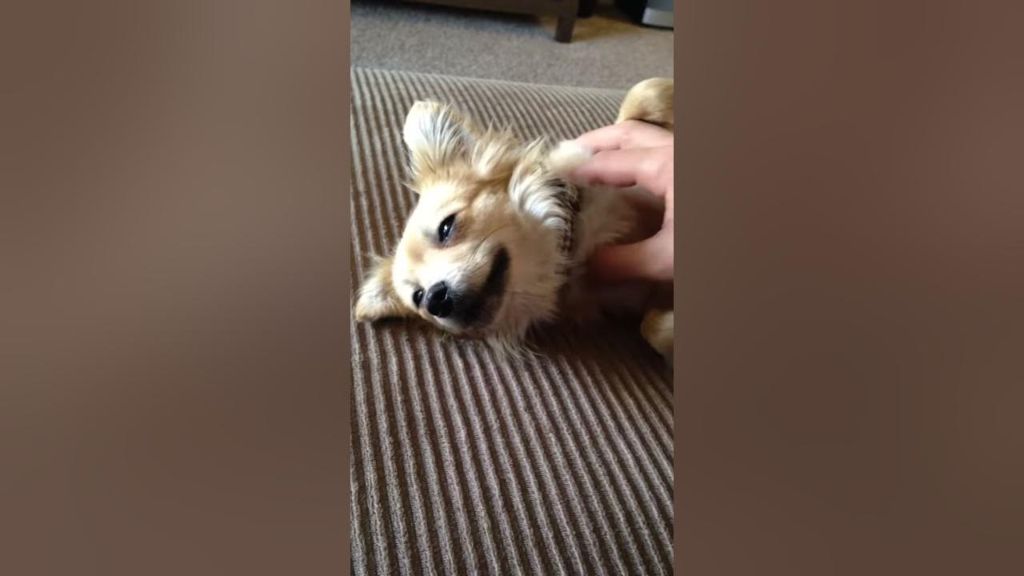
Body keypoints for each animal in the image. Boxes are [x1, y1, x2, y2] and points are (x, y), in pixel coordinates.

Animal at [352, 76, 671, 362]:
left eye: (446, 227)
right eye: (417, 297)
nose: (433, 299)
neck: (576, 242)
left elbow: (641, 96)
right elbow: (651, 326)